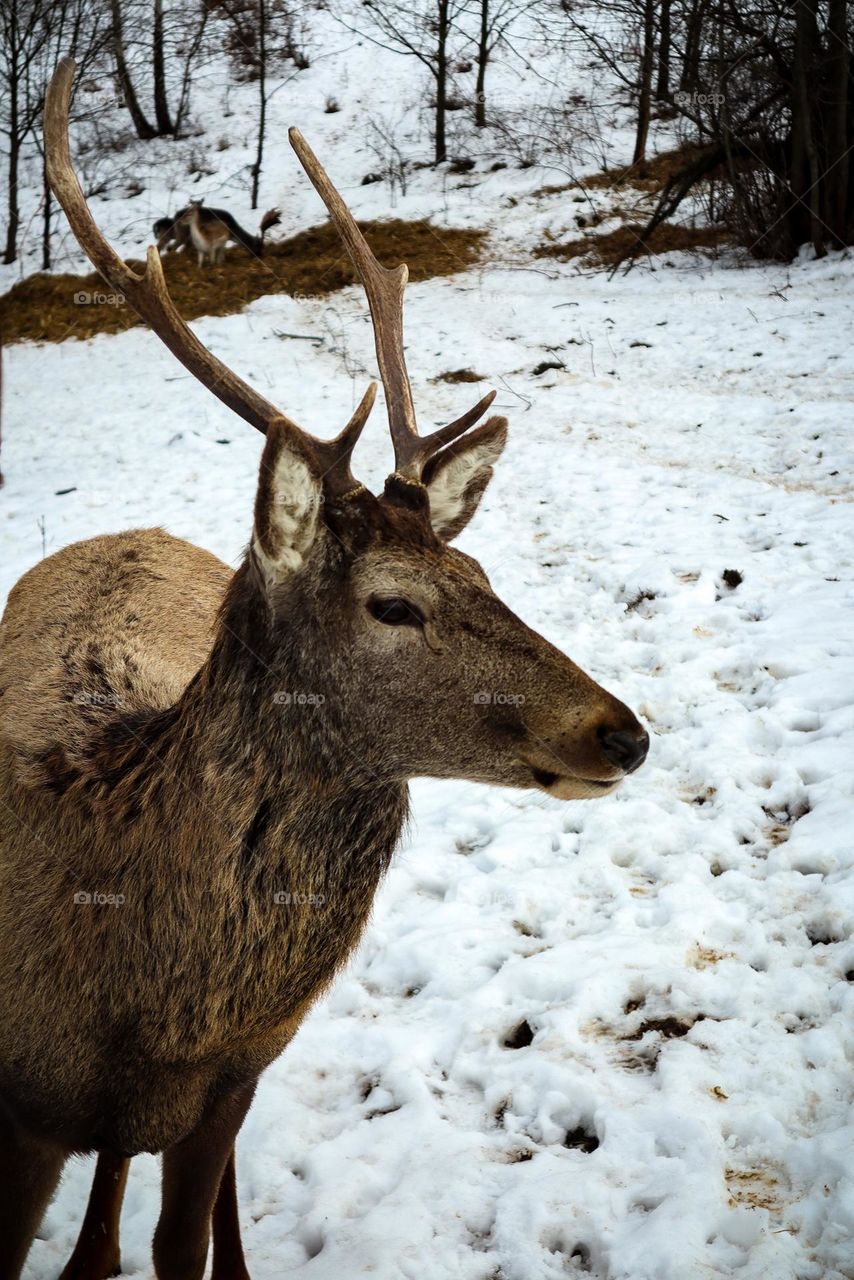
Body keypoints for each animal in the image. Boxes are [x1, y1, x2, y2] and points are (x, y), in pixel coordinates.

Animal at [0, 57, 649, 1280]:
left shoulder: (230, 1081)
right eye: (392, 603)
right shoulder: (19, 1119)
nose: (623, 731)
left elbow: (182, 1242)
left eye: (479, 565)